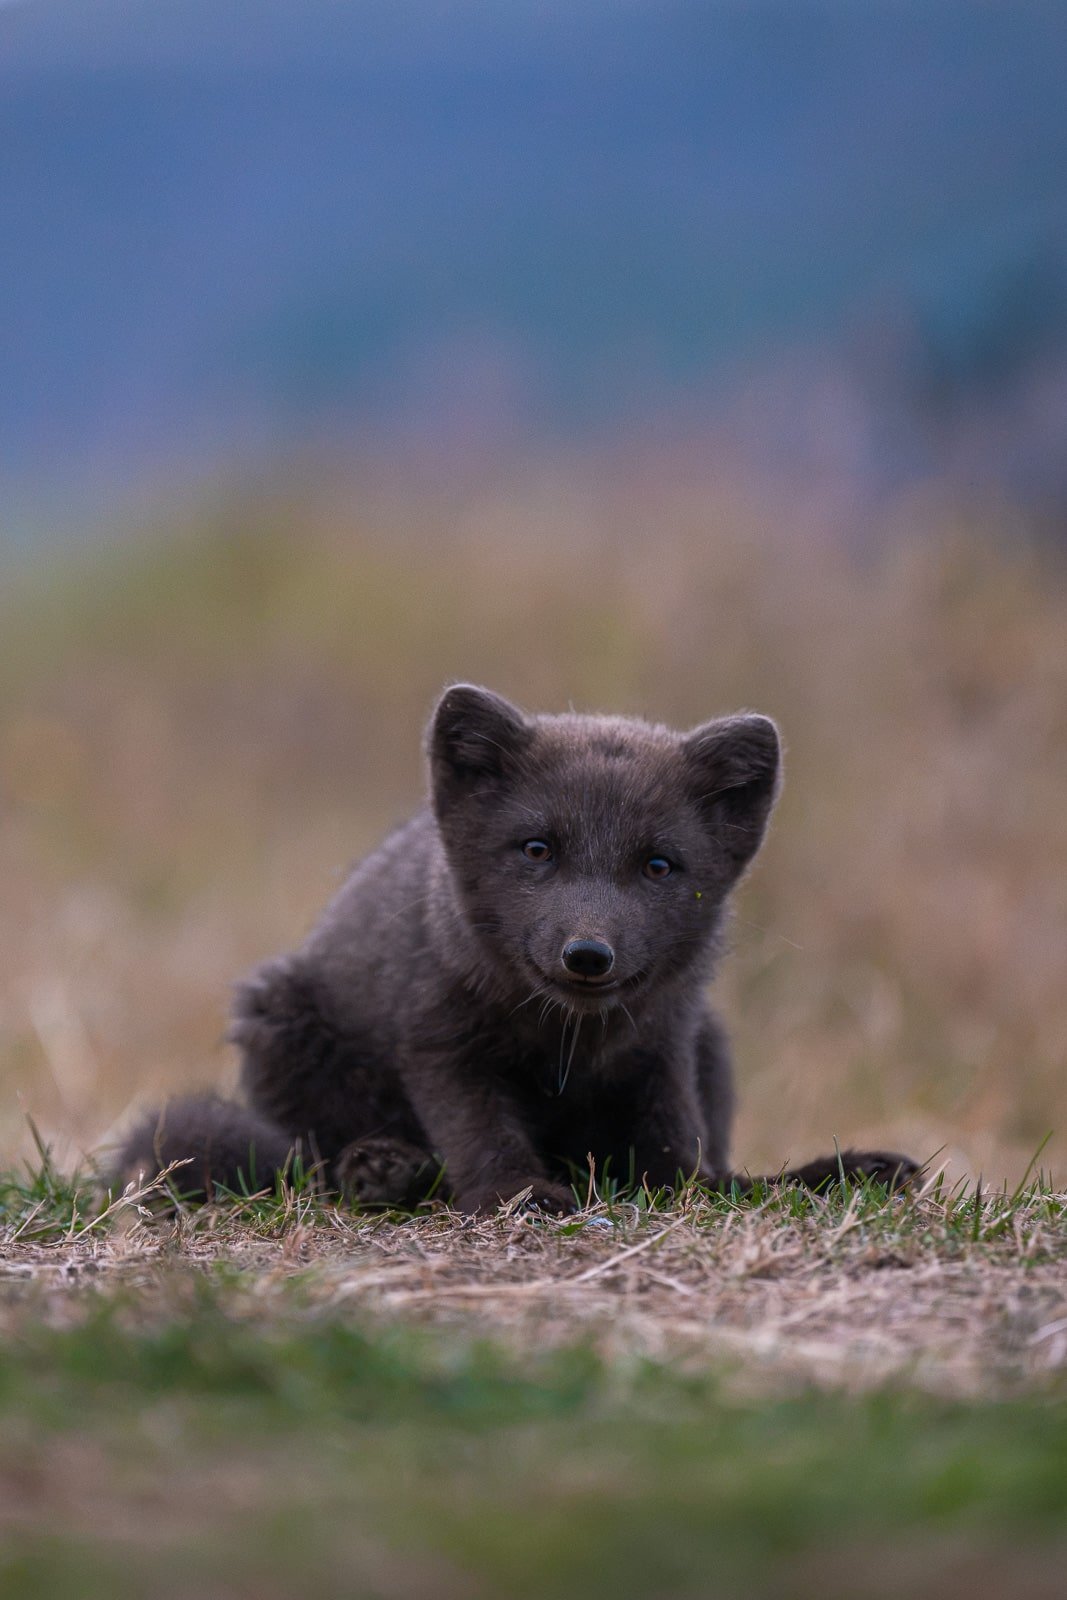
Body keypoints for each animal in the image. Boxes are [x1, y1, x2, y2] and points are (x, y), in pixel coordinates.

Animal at [116, 684, 917, 1212]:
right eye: (537, 849)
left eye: (659, 865)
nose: (587, 954)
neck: (567, 1042)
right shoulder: (439, 1043)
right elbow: (479, 1132)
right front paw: (520, 1193)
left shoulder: (663, 1041)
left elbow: (677, 1151)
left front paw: (706, 1191)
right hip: (281, 1021)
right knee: (312, 1160)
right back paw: (383, 1172)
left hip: (712, 1038)